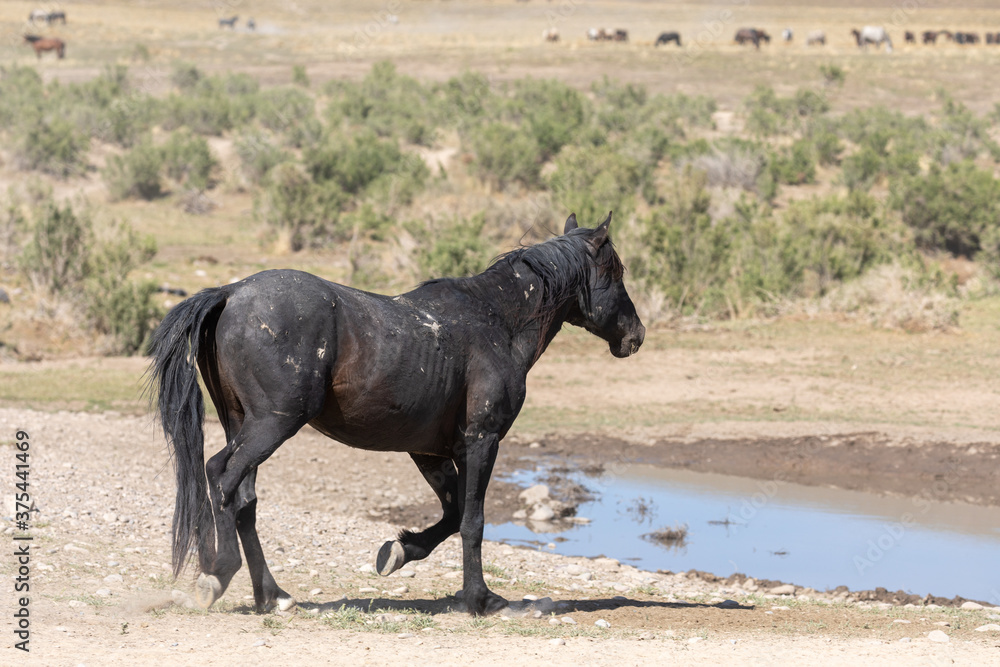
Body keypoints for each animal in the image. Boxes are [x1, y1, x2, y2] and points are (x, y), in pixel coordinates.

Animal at [147, 213, 645, 617]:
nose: (636, 335)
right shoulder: (482, 441)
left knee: (243, 499)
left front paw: (398, 551)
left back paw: (273, 596)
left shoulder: (431, 452)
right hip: (271, 424)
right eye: (616, 271)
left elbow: (451, 515)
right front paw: (483, 600)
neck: (496, 321)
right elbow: (473, 521)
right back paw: (217, 576)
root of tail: (231, 293)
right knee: (222, 477)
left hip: (245, 424)